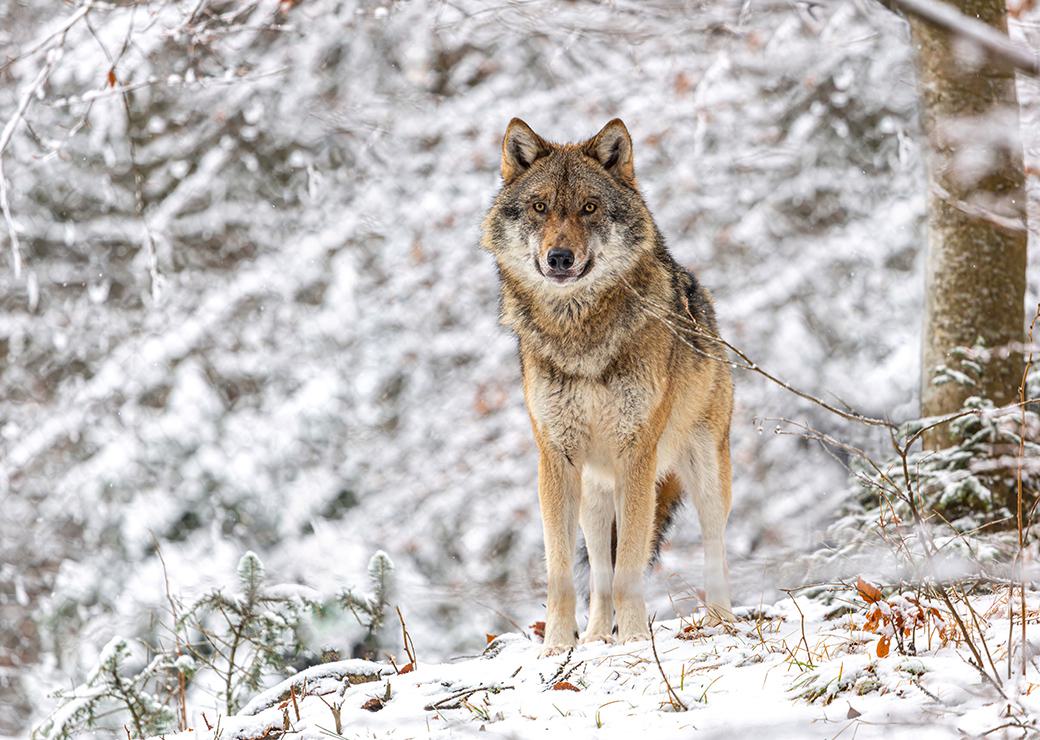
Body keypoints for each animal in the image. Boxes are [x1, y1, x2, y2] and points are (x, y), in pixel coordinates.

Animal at [480, 118, 736, 654]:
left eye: (589, 208)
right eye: (540, 207)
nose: (559, 257)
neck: (580, 334)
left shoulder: (636, 455)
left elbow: (630, 567)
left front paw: (635, 639)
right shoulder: (555, 459)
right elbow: (563, 573)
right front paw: (558, 646)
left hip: (705, 473)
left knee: (714, 543)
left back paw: (720, 621)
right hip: (593, 496)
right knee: (598, 566)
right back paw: (597, 635)